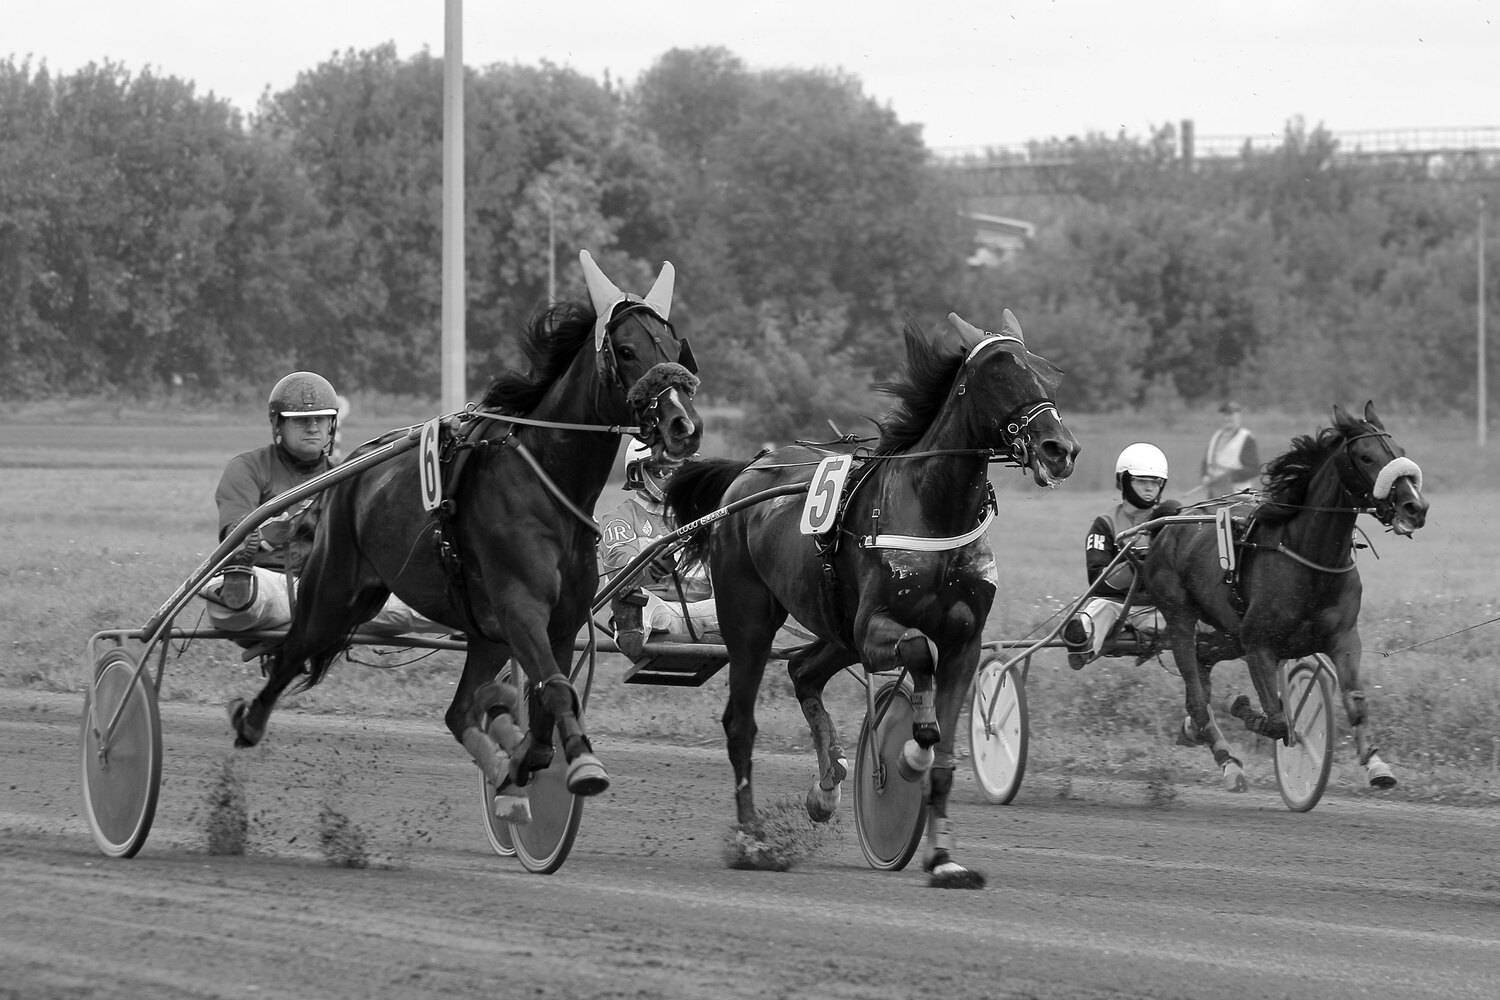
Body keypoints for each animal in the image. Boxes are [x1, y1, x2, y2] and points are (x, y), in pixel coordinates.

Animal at [230, 250, 703, 817]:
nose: (683, 426)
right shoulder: (521, 608)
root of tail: (352, 467)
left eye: (676, 348)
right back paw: (249, 720)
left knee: (458, 711)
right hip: (336, 590)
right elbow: (555, 690)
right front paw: (582, 765)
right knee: (293, 650)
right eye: (627, 350)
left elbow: (543, 709)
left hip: (482, 633)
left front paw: (520, 756)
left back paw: (499, 763)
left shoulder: (562, 619)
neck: (546, 483)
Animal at [666, 310, 1079, 887]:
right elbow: (919, 656)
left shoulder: (965, 642)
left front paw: (943, 858)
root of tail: (748, 473)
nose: (1059, 449)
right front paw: (908, 750)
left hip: (834, 627)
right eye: (1000, 373)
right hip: (750, 618)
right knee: (740, 723)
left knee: (803, 673)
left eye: (1046, 372)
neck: (934, 506)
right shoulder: (874, 625)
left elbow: (945, 754)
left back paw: (825, 788)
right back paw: (754, 841)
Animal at [1143, 401, 1428, 791]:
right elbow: (1279, 721)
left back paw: (1196, 731)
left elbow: (1355, 703)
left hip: (1227, 633)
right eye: (1366, 457)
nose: (1415, 507)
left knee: (1202, 669)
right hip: (1180, 617)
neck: (1310, 560)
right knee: (1197, 693)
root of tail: (1168, 523)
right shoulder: (1259, 644)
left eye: (1399, 450)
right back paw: (1225, 758)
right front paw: (1246, 710)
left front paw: (1376, 764)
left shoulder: (1343, 638)